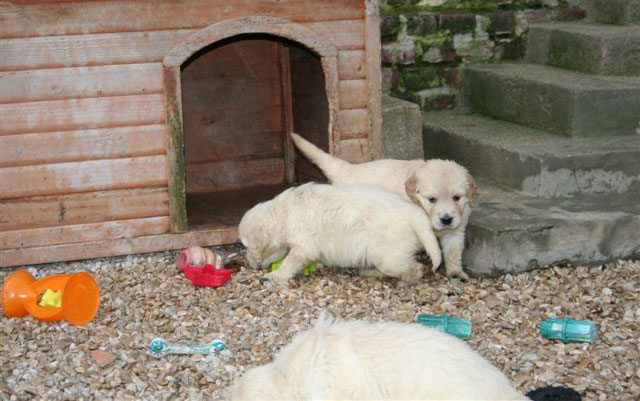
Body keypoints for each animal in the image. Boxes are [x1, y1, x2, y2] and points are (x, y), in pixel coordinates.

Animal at [238, 183, 442, 282]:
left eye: (246, 245)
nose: (249, 263)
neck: (283, 212)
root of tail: (415, 213)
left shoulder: (303, 246)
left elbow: (290, 262)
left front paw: (275, 276)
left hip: (386, 255)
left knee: (414, 268)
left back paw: (404, 280)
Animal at [292, 133, 476, 280]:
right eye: (432, 199)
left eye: (457, 197)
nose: (446, 219)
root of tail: (347, 168)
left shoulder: (456, 231)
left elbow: (454, 253)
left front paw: (455, 272)